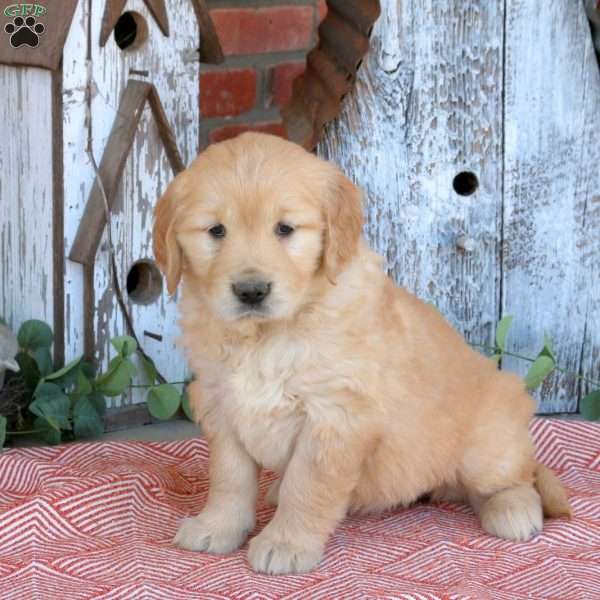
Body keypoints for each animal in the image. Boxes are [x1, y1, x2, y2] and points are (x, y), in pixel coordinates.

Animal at [152, 132, 568, 576]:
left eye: (285, 229)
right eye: (216, 231)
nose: (251, 291)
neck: (266, 336)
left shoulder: (335, 415)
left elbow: (307, 486)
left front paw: (286, 542)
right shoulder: (220, 404)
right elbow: (229, 478)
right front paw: (217, 526)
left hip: (488, 443)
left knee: (516, 477)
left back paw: (514, 509)